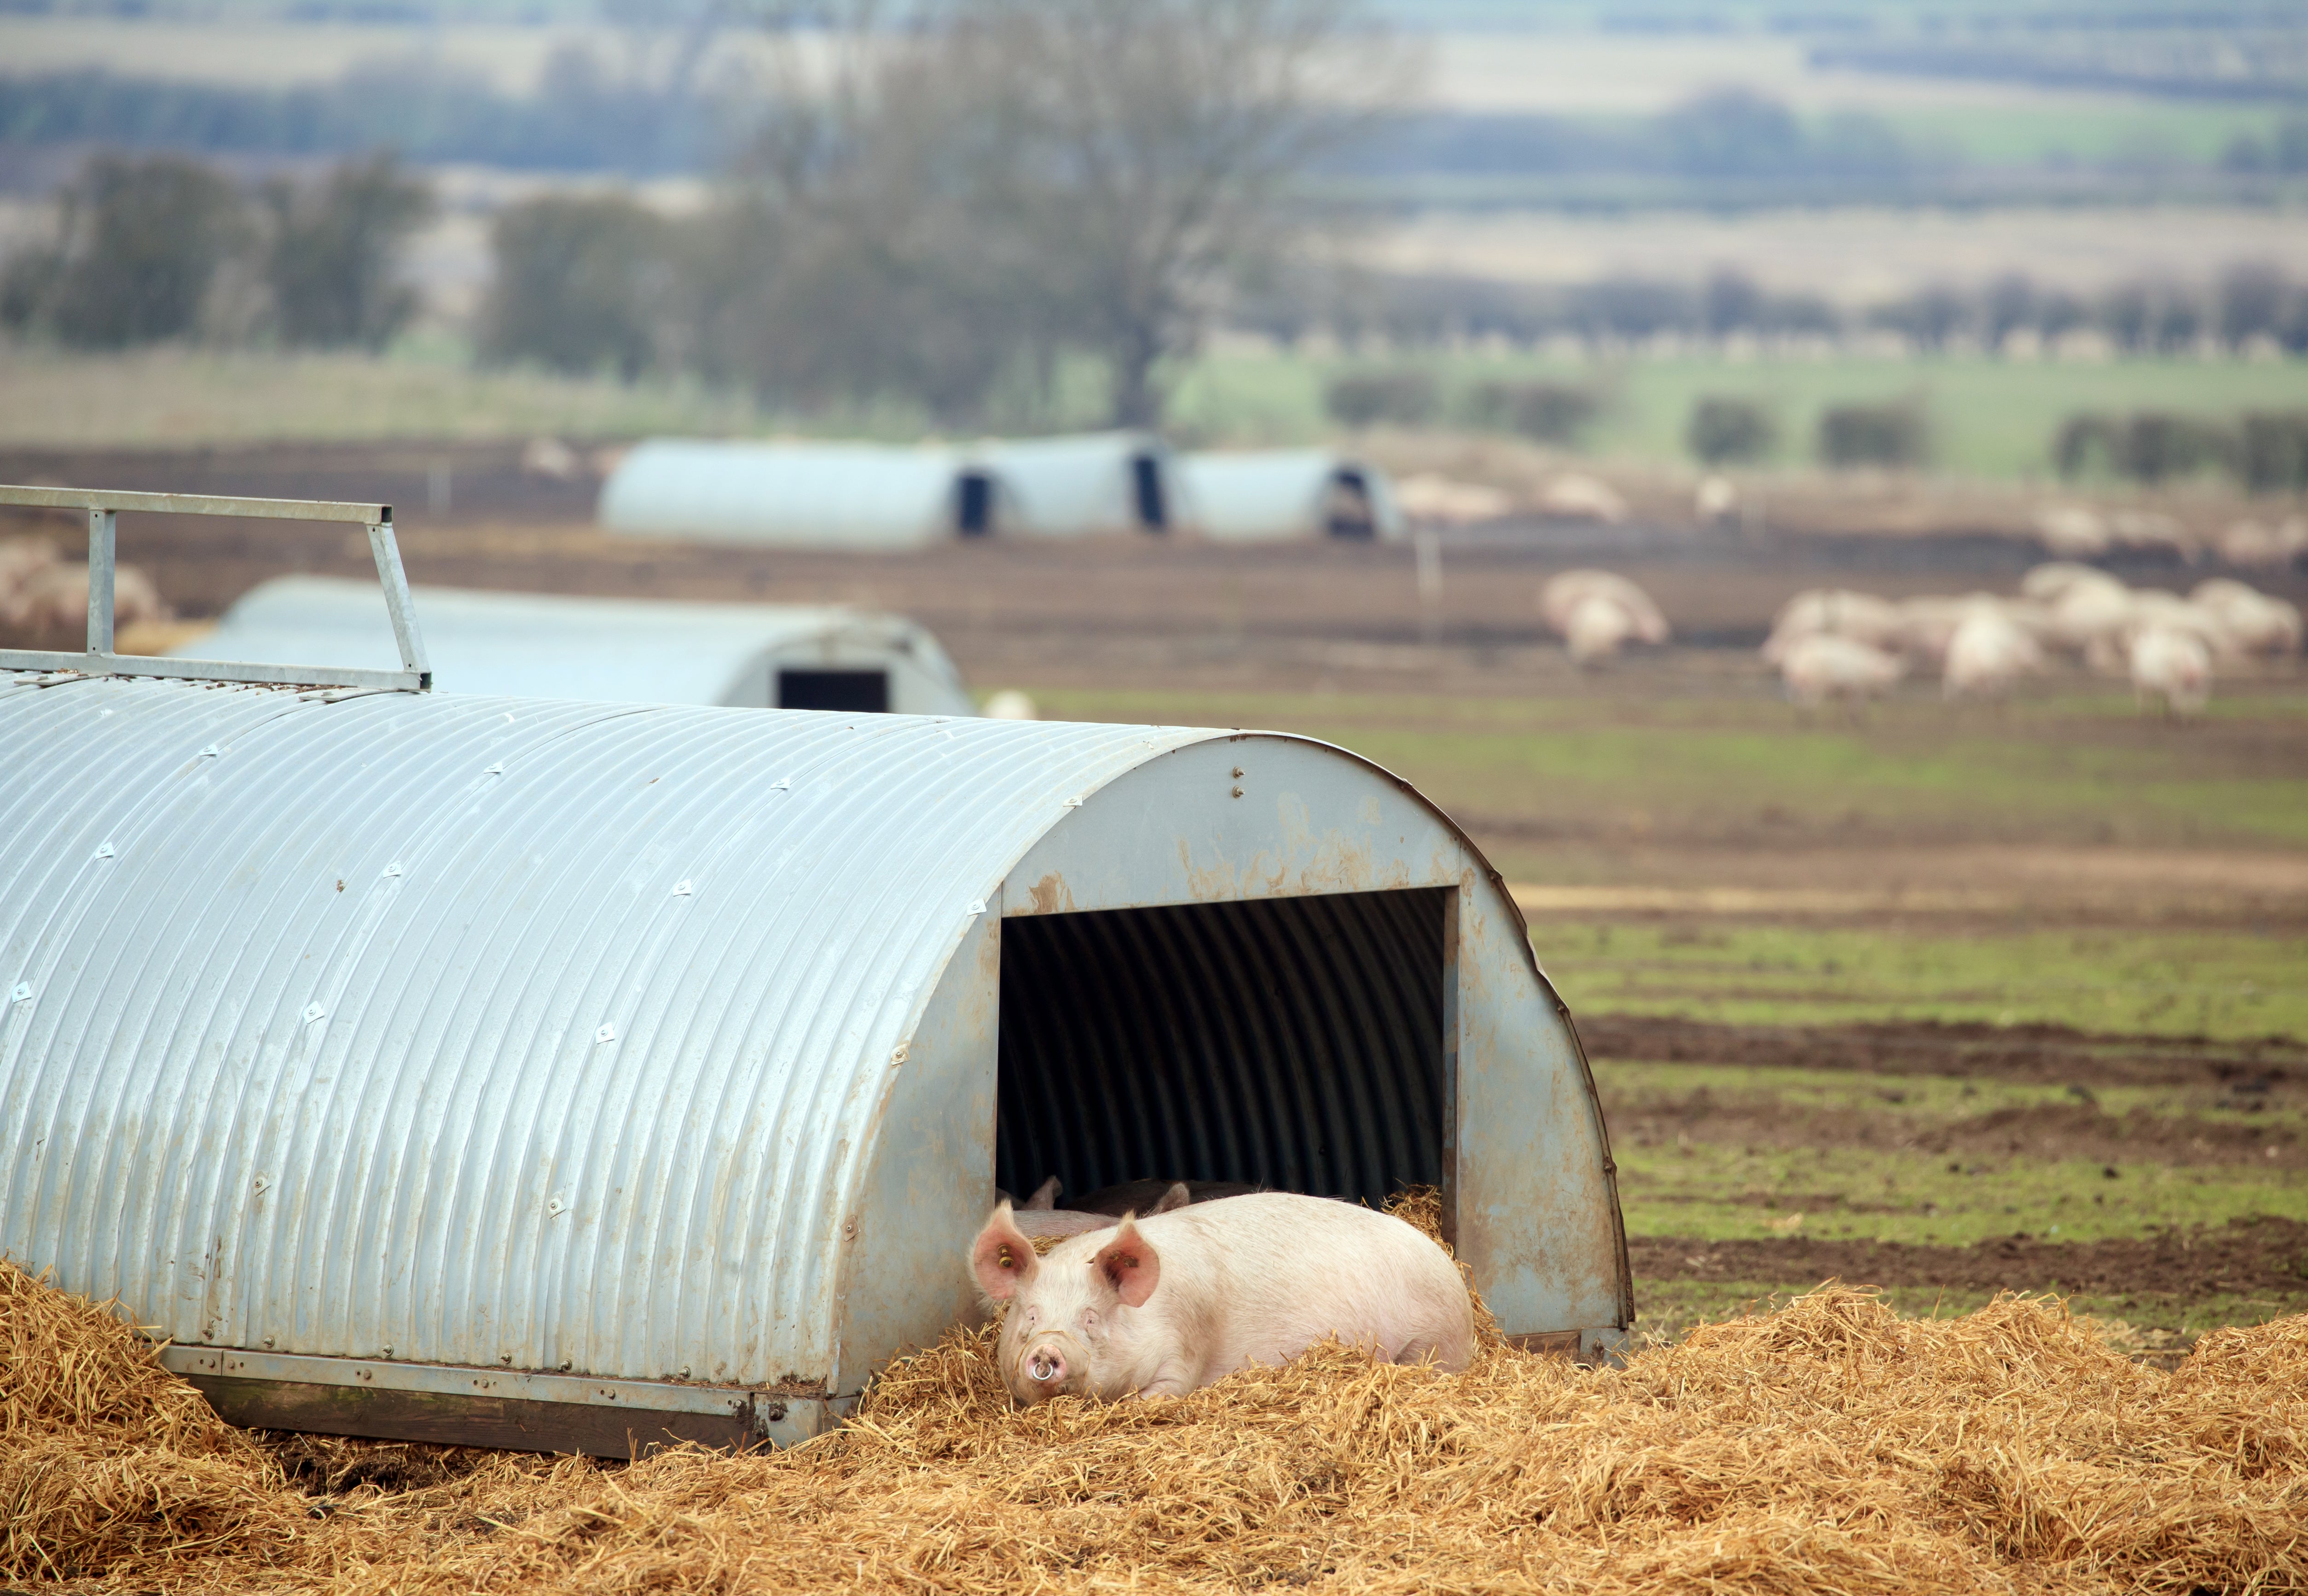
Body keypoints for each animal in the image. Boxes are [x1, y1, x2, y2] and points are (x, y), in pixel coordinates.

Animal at [969, 1190, 1477, 1402]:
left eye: (1091, 1318)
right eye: (1030, 1316)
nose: (1047, 1350)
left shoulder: (1184, 1349)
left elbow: (1164, 1393)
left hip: (1435, 1340)